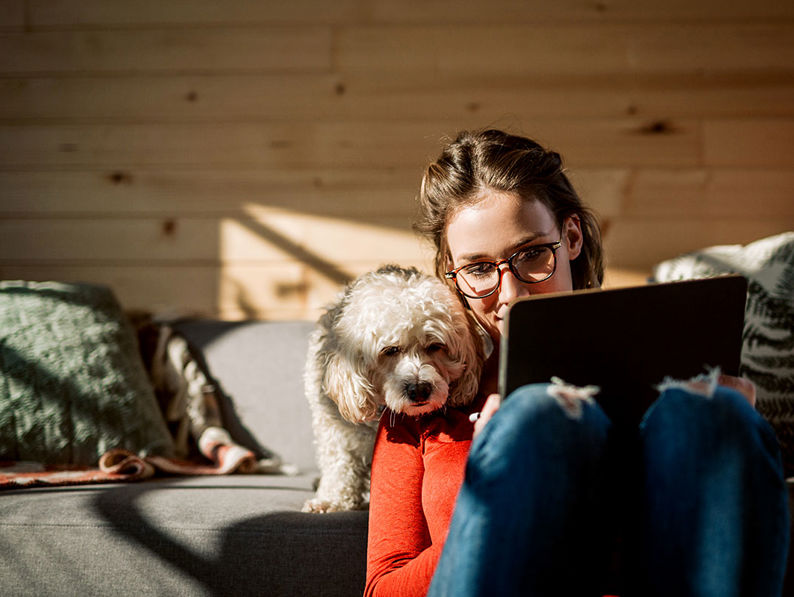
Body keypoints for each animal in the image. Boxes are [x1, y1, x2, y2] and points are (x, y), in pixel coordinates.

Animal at [300, 266, 480, 512]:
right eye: (391, 350)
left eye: (435, 346)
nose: (419, 389)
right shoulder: (333, 427)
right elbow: (339, 463)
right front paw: (332, 499)